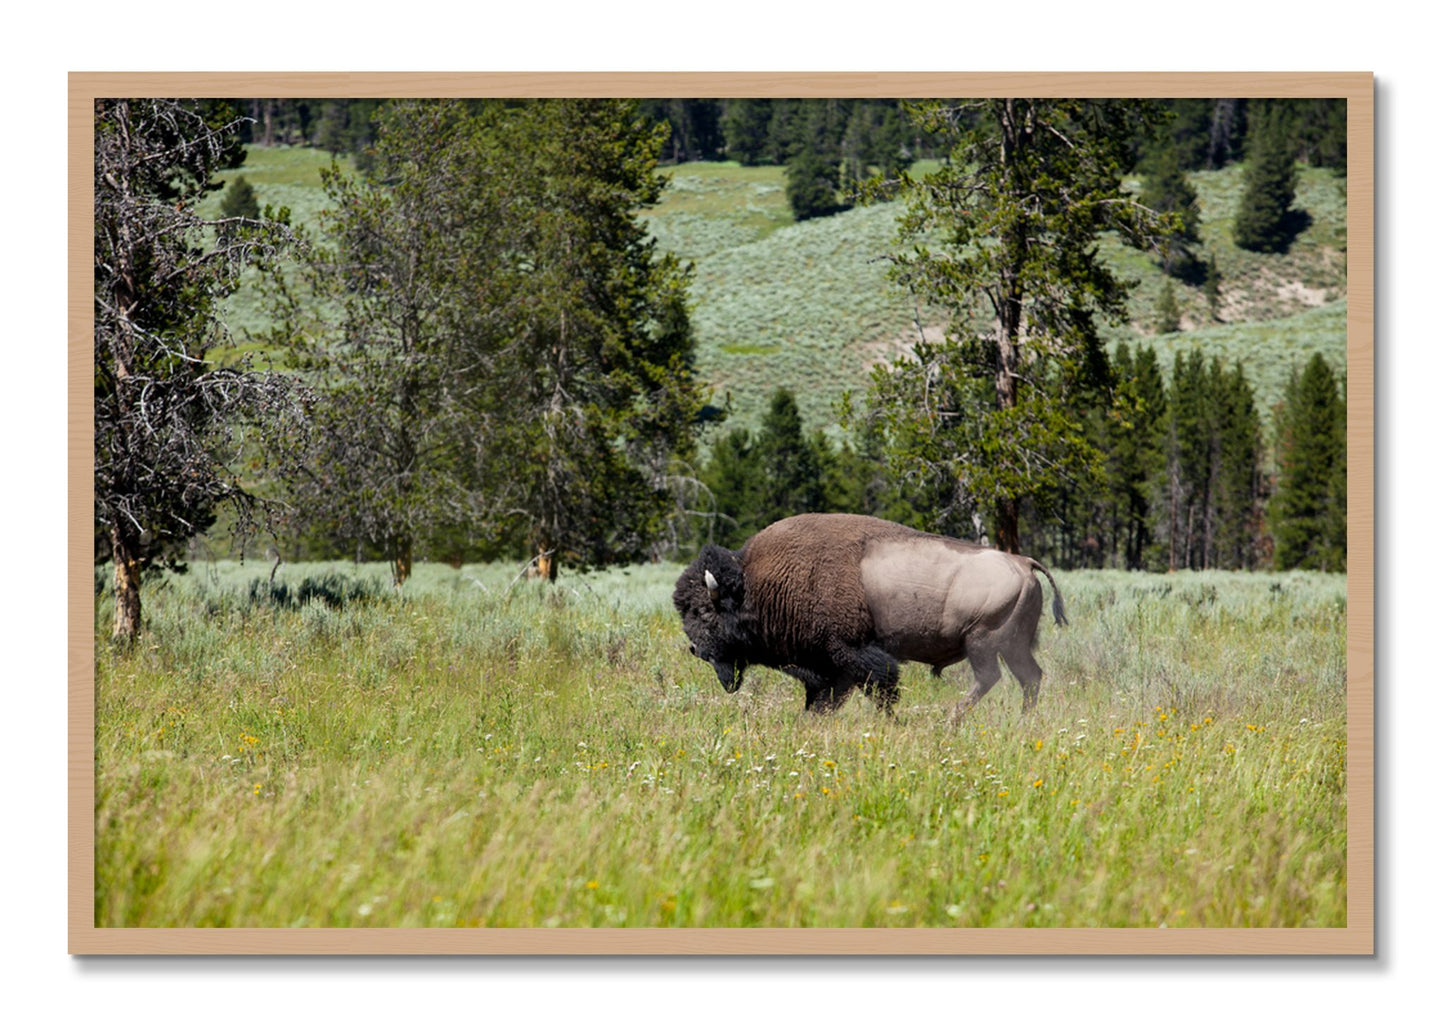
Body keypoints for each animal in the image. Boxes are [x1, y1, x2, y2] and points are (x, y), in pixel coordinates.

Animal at [673, 513, 1067, 718]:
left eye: (704, 611)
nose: (695, 649)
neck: (757, 584)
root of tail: (1023, 562)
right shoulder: (828, 668)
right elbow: (824, 699)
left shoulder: (851, 654)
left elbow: (880, 688)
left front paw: (891, 721)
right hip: (1013, 646)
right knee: (1029, 678)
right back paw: (1022, 720)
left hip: (983, 642)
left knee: (990, 678)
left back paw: (950, 720)